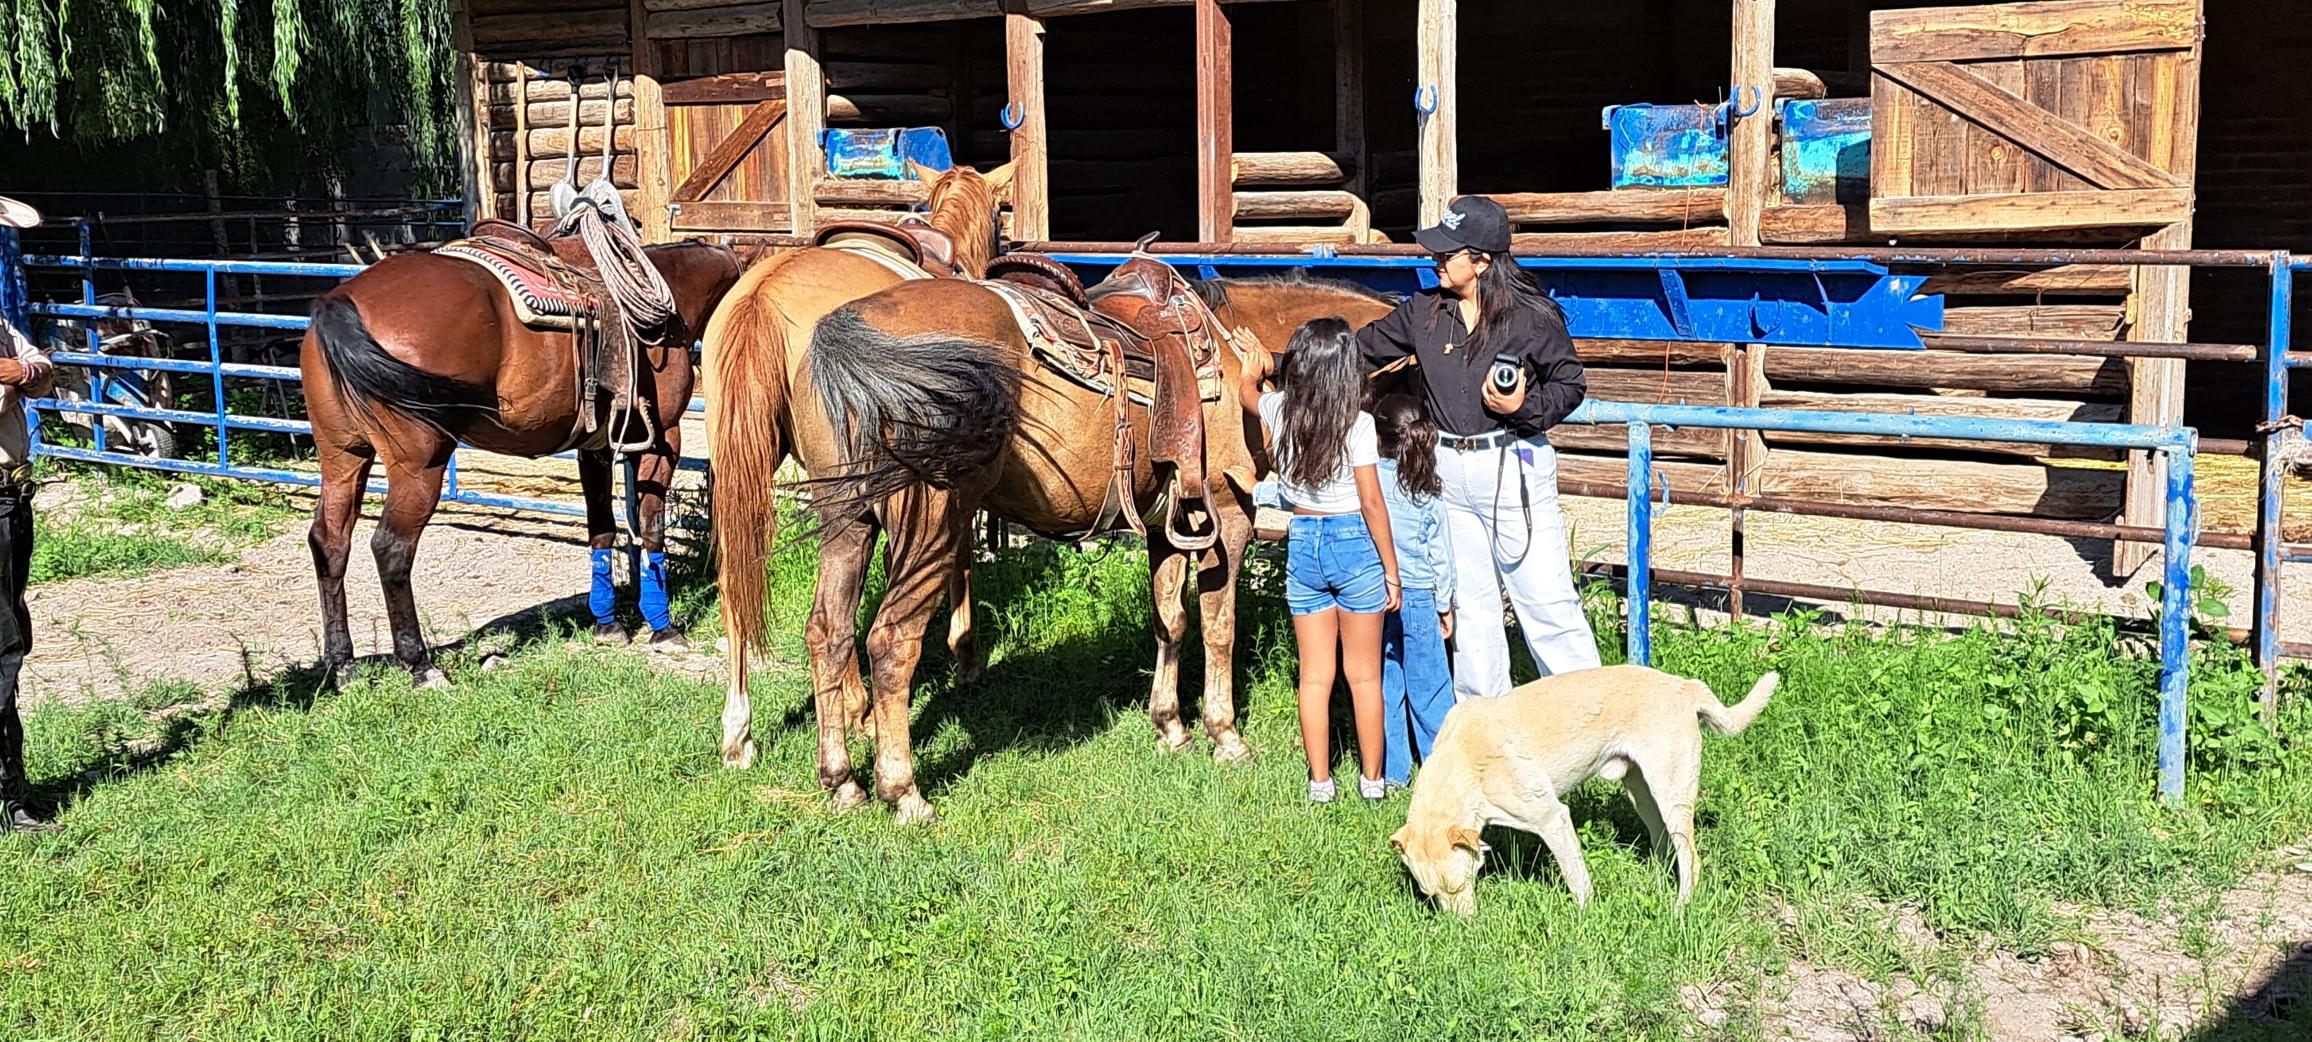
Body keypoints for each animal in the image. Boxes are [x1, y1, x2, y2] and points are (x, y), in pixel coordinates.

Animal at [300, 232, 743, 685]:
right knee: (391, 548)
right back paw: (420, 665)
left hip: (343, 458)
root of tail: (340, 300)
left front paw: (607, 624)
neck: (670, 296)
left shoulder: (596, 447)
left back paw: (343, 665)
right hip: (419, 468)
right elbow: (652, 529)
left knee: (330, 541)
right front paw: (663, 627)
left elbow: (601, 528)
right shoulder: (662, 439)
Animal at [701, 163, 1012, 770]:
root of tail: (760, 297)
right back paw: (857, 711)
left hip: (742, 470)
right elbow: (954, 558)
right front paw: (964, 656)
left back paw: (740, 731)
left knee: (737, 579)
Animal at [737, 260, 1397, 823]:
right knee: (890, 642)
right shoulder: (1226, 517)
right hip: (932, 525)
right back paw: (904, 793)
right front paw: (1224, 734)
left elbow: (1170, 622)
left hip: (848, 521)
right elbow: (1218, 626)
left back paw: (842, 781)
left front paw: (1170, 725)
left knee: (828, 634)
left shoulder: (1167, 526)